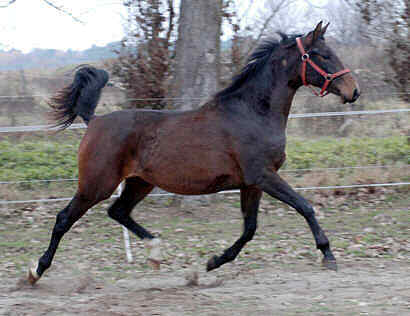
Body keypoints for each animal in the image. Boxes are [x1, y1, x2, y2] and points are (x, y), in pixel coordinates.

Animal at [27, 22, 358, 284]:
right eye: (323, 55)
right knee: (64, 218)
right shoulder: (263, 176)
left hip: (139, 183)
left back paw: (156, 252)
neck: (253, 113)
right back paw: (35, 271)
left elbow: (250, 228)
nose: (353, 91)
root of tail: (94, 121)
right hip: (97, 184)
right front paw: (328, 255)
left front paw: (213, 262)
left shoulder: (252, 183)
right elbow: (305, 207)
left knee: (118, 211)